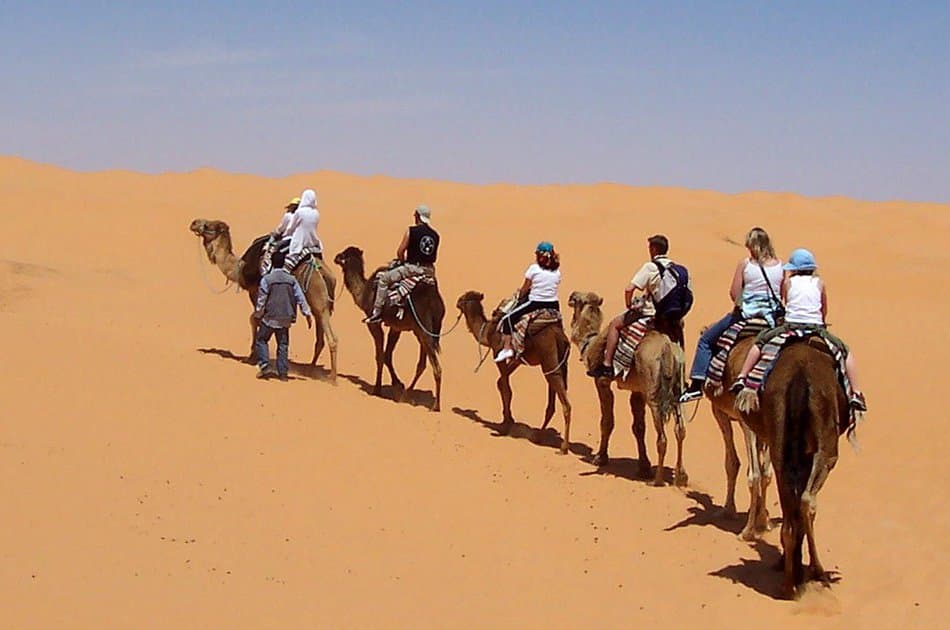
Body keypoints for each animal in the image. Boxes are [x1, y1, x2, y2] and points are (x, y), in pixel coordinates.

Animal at [189, 219, 338, 382]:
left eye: (209, 226)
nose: (194, 223)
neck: (240, 268)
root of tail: (325, 273)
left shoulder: (256, 291)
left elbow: (254, 319)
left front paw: (252, 356)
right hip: (321, 304)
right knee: (320, 337)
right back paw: (310, 370)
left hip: (318, 299)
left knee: (332, 338)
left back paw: (332, 378)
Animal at [333, 246, 444, 412]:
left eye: (343, 255)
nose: (335, 257)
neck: (364, 292)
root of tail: (435, 300)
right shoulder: (396, 326)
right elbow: (387, 355)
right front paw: (397, 383)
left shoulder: (373, 323)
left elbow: (380, 356)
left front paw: (377, 389)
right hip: (422, 331)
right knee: (422, 364)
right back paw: (407, 394)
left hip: (423, 328)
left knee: (436, 367)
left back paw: (434, 406)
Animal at [456, 291, 572, 454]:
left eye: (464, 298)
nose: (457, 302)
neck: (488, 330)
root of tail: (559, 336)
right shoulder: (517, 358)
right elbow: (501, 383)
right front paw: (508, 419)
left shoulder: (497, 351)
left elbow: (506, 388)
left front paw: (505, 426)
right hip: (560, 365)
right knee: (552, 403)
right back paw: (538, 436)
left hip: (549, 360)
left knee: (565, 404)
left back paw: (563, 447)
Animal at [568, 291, 687, 487]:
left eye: (577, 299)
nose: (572, 295)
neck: (590, 341)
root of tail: (668, 350)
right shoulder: (637, 391)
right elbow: (638, 427)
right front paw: (644, 467)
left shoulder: (601, 381)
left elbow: (607, 421)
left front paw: (600, 458)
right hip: (677, 389)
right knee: (681, 430)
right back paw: (681, 476)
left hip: (654, 393)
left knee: (662, 437)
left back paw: (657, 481)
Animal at [735, 339, 851, 599]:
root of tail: (799, 375)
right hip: (825, 446)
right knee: (808, 499)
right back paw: (817, 571)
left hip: (780, 439)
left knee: (789, 505)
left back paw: (789, 582)